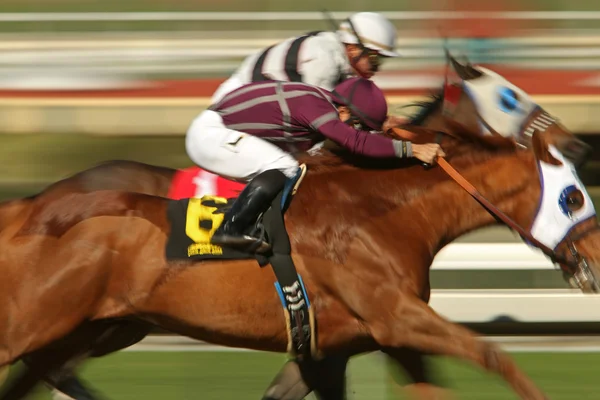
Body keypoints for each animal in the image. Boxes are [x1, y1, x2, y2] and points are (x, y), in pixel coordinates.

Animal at [2, 57, 596, 400]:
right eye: (571, 197)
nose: (578, 144)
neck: (382, 210)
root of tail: (32, 206)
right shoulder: (396, 319)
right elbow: (493, 354)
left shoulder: (334, 345)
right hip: (43, 322)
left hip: (101, 325)